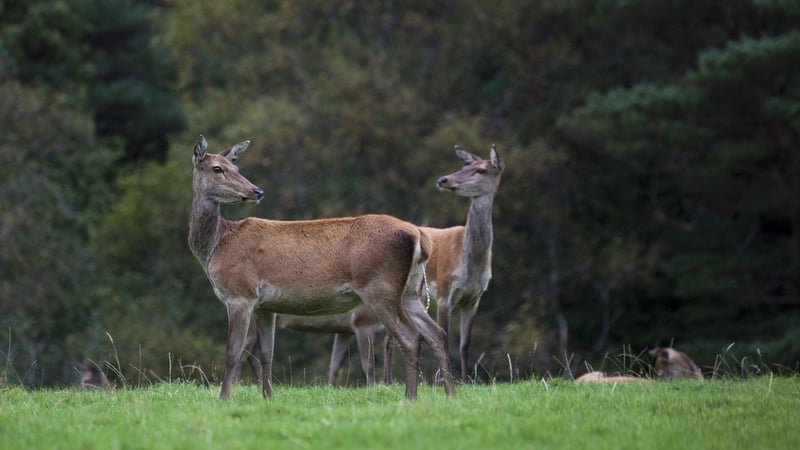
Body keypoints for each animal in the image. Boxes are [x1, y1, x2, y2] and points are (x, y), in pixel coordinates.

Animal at [188, 135, 453, 400]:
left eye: (235, 167)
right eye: (218, 168)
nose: (256, 191)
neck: (217, 246)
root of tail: (419, 235)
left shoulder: (240, 293)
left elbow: (232, 352)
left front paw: (224, 399)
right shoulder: (265, 306)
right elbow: (266, 354)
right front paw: (268, 397)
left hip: (380, 286)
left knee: (410, 337)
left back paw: (411, 397)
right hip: (410, 290)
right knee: (436, 333)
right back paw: (450, 394)